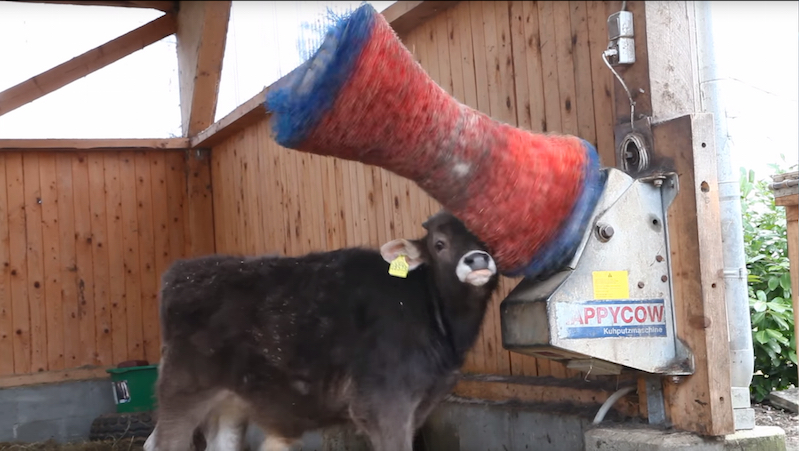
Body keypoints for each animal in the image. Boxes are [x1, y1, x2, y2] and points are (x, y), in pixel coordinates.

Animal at [141, 212, 496, 451]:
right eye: (440, 244)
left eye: (490, 239)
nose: (477, 259)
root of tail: (184, 270)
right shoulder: (383, 404)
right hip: (182, 391)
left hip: (231, 402)